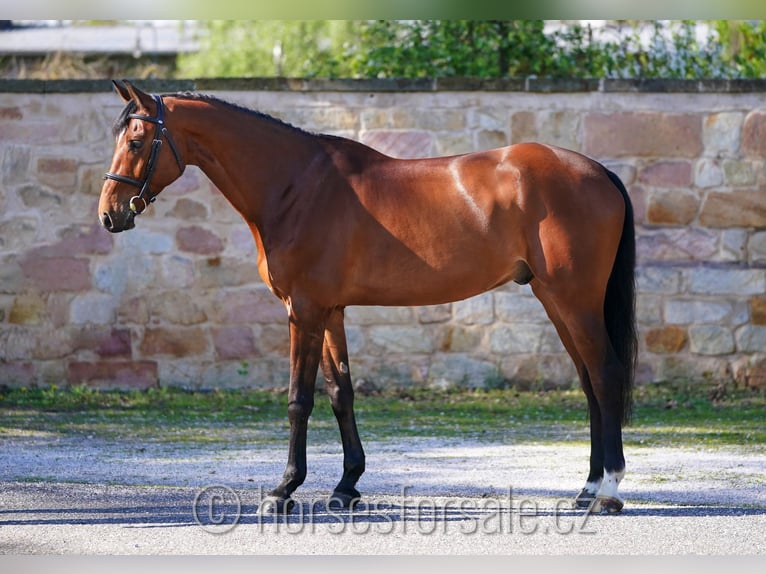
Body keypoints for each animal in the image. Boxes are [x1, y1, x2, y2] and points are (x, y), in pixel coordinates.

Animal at [99, 79, 640, 516]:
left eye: (136, 140)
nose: (110, 214)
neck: (296, 186)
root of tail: (599, 172)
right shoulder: (331, 311)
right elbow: (341, 393)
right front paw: (346, 487)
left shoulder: (304, 311)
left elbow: (299, 399)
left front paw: (283, 491)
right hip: (557, 302)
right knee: (589, 383)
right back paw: (587, 489)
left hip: (574, 300)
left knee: (606, 374)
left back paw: (609, 492)